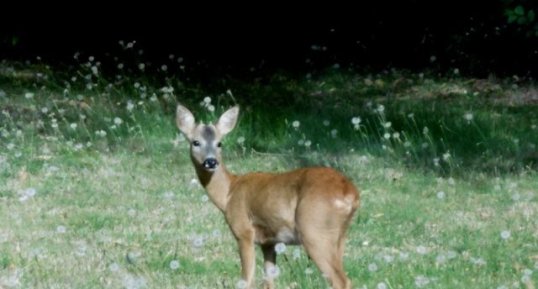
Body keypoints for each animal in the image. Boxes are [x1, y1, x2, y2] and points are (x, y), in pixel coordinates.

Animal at [176, 103, 358, 288]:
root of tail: (350, 192)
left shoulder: (244, 231)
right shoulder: (269, 242)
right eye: (195, 142)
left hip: (314, 230)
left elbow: (246, 281)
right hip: (340, 235)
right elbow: (268, 281)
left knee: (341, 280)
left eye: (219, 143)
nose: (211, 162)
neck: (229, 193)